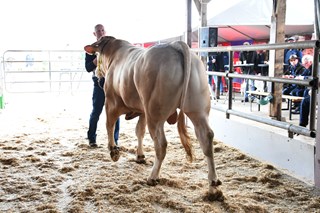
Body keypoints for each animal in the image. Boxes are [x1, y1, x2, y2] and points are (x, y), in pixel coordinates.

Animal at [84, 35, 222, 201]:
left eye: (96, 55)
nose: (96, 73)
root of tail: (175, 44)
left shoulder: (111, 102)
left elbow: (109, 125)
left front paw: (114, 151)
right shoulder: (142, 110)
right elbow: (139, 131)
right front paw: (140, 156)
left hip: (155, 113)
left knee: (161, 144)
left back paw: (153, 177)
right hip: (197, 110)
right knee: (206, 138)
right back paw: (213, 186)